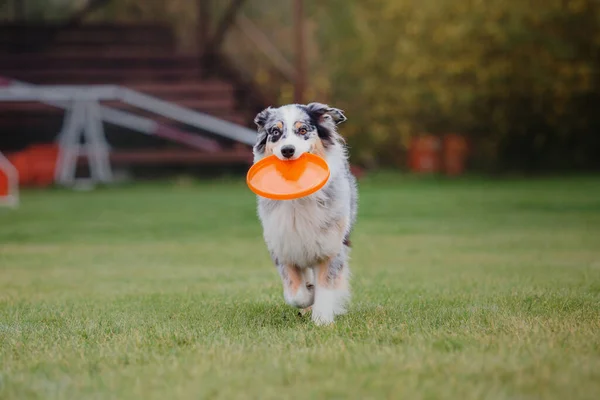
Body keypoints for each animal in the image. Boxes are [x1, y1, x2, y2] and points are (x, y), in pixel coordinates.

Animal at [252, 103, 358, 324]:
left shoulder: (331, 246)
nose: (288, 150)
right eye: (275, 132)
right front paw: (308, 295)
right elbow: (296, 294)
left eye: (302, 130)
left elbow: (325, 285)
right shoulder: (283, 246)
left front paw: (322, 319)